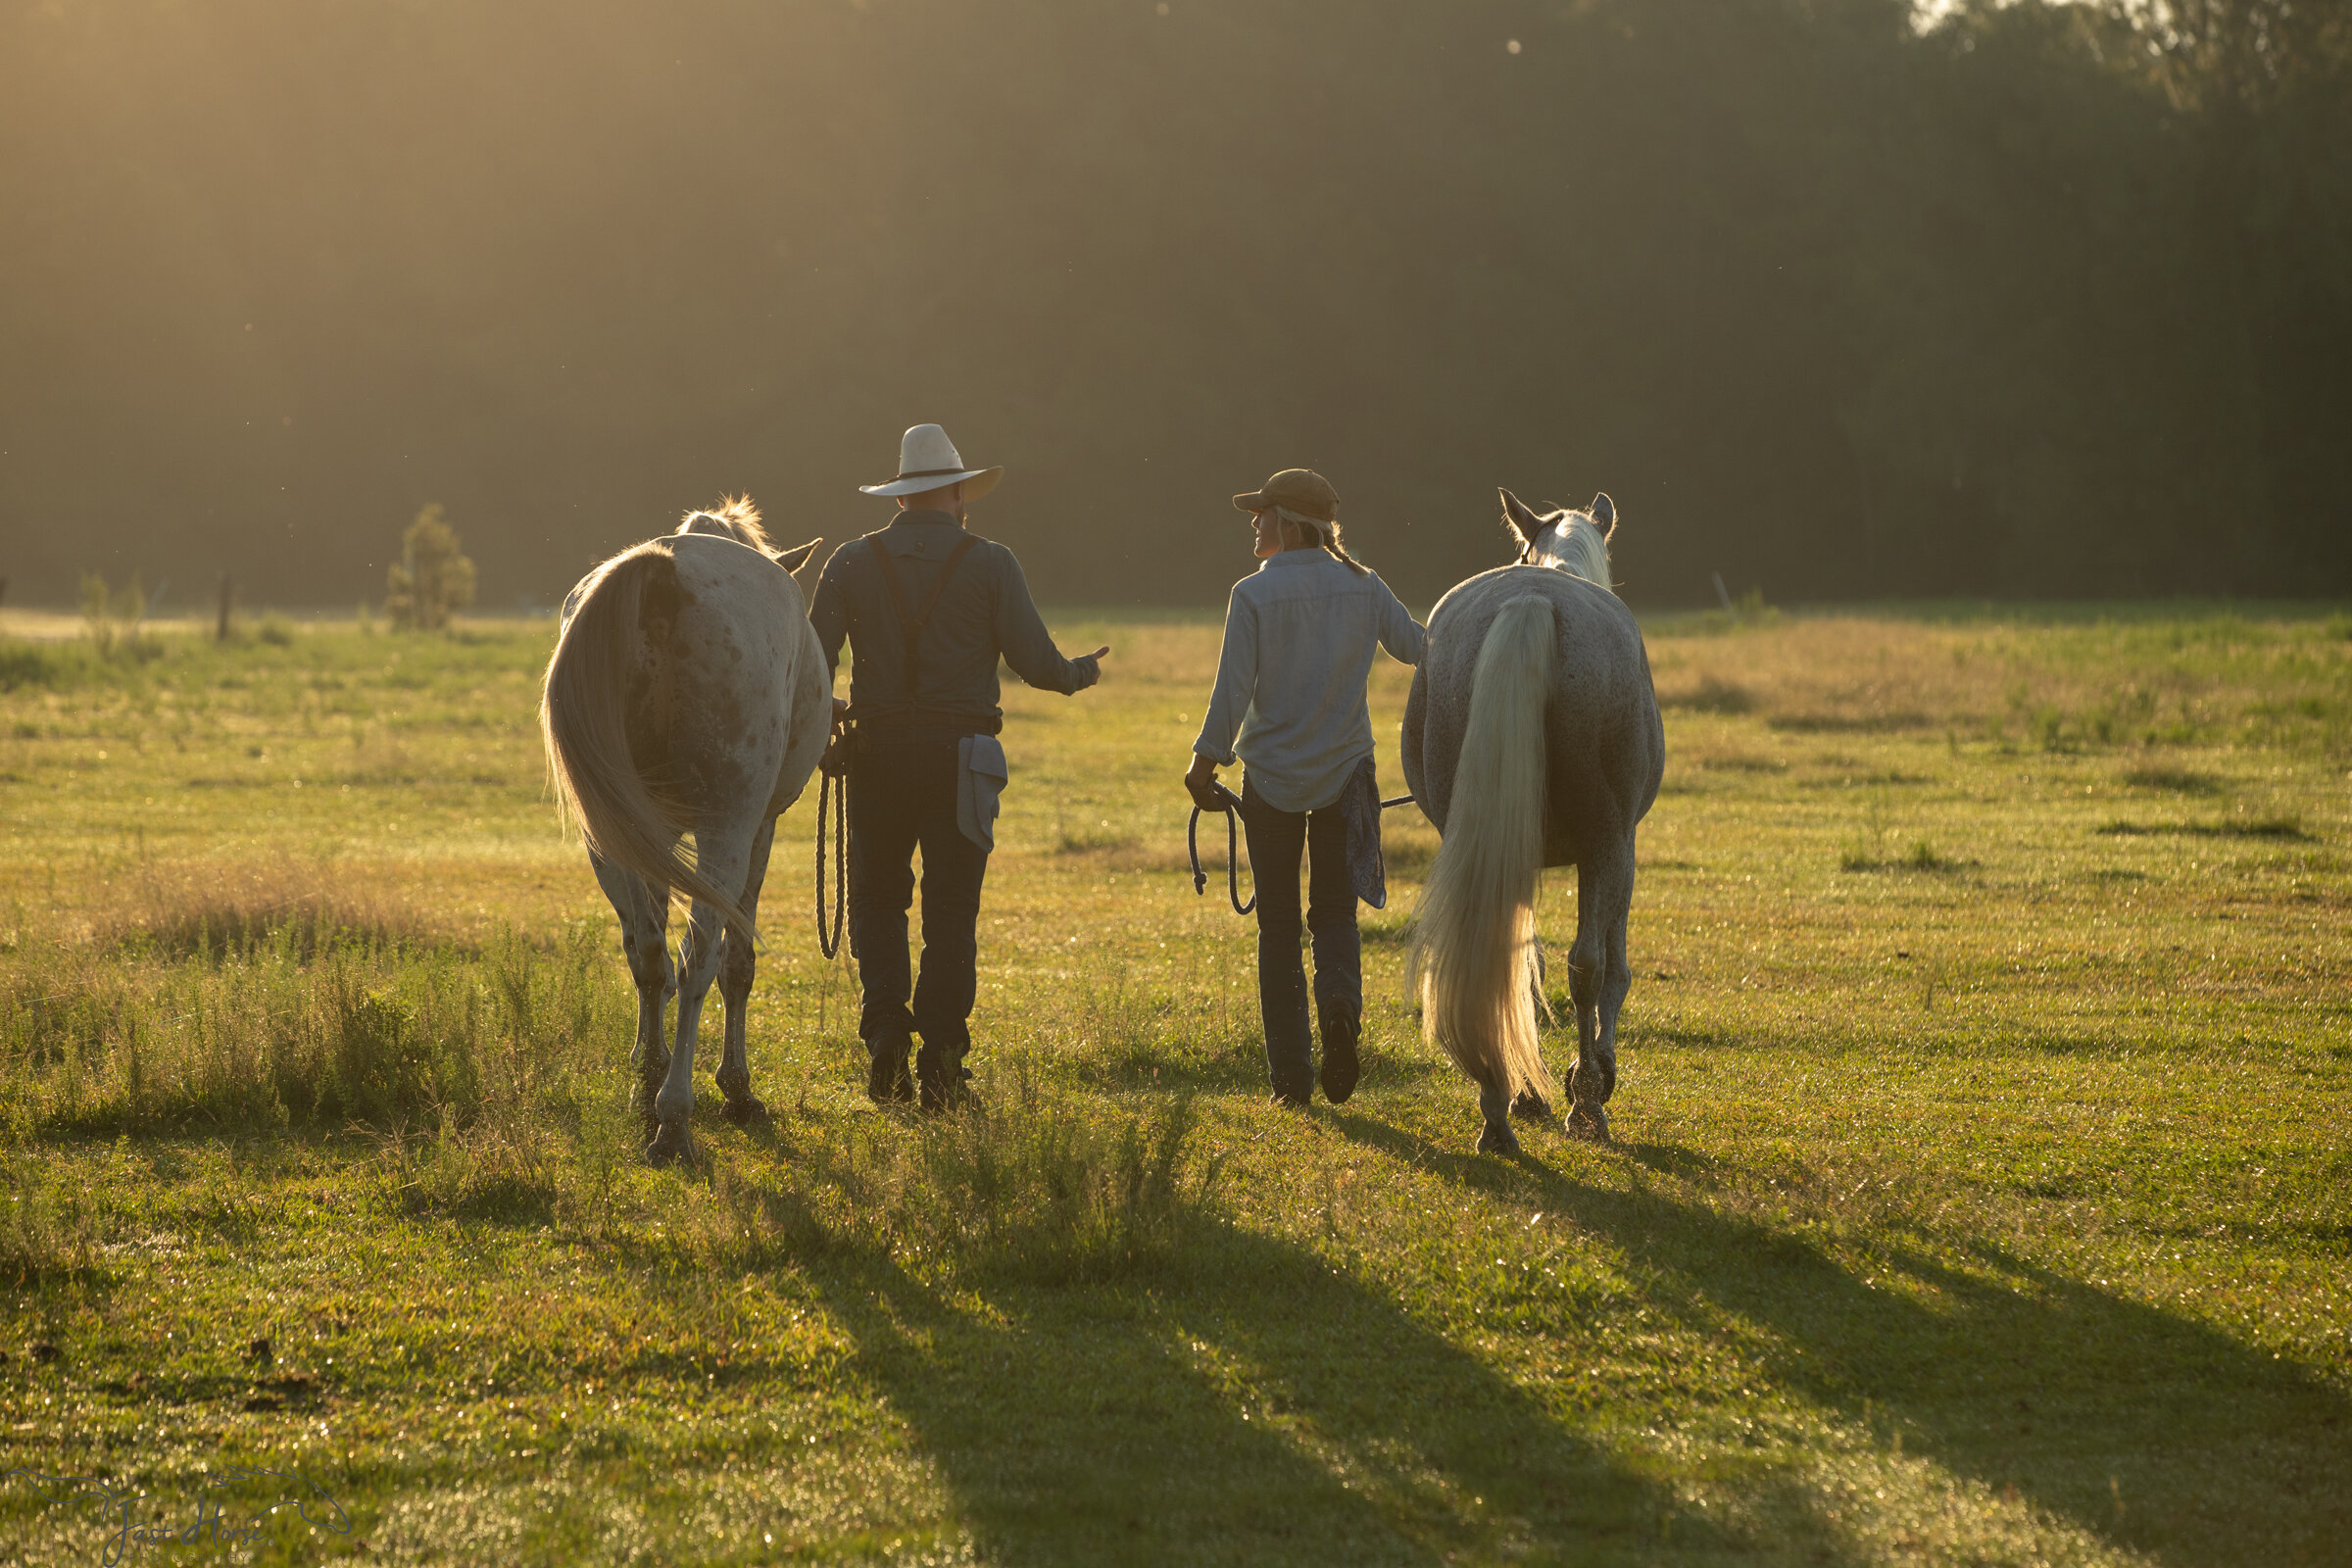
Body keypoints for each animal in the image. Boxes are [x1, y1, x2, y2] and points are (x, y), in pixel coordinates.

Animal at [541, 503, 827, 1165]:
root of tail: (664, 574)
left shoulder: (653, 836)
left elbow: (646, 948)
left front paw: (647, 1063)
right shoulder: (758, 829)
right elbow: (737, 960)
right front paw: (736, 1085)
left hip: (612, 834)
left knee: (647, 948)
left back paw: (651, 1086)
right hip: (727, 829)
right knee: (698, 955)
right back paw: (675, 1117)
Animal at [1401, 486, 1665, 1152]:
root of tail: (1530, 602)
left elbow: (1530, 963)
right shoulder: (1620, 847)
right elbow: (1611, 968)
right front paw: (1594, 1075)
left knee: (1507, 955)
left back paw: (1504, 1104)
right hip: (1606, 842)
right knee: (1588, 966)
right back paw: (1586, 1107)